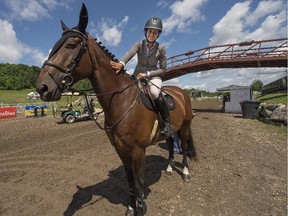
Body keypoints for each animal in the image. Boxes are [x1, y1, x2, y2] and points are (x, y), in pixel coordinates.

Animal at [36, 3, 197, 216]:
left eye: (71, 45)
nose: (42, 88)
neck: (120, 101)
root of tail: (181, 92)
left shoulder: (138, 151)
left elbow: (139, 182)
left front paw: (141, 207)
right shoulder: (121, 150)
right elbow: (129, 180)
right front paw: (130, 206)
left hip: (185, 126)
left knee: (184, 148)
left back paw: (185, 173)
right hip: (171, 131)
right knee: (171, 144)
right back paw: (170, 169)